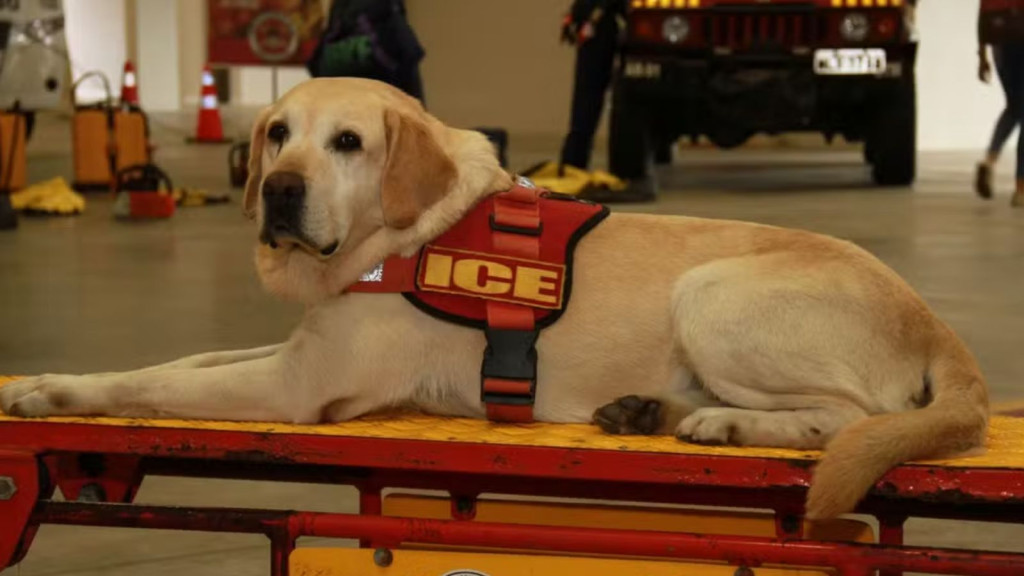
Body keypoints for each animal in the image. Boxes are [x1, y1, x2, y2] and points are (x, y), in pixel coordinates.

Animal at [2, 77, 991, 516]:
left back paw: (727, 423)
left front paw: (52, 392)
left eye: (348, 143)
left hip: (711, 296)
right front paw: (44, 380)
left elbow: (155, 381)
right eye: (278, 132)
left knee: (850, 418)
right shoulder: (295, 350)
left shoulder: (295, 386)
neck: (403, 237)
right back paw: (650, 411)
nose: (278, 191)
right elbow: (186, 354)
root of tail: (936, 321)